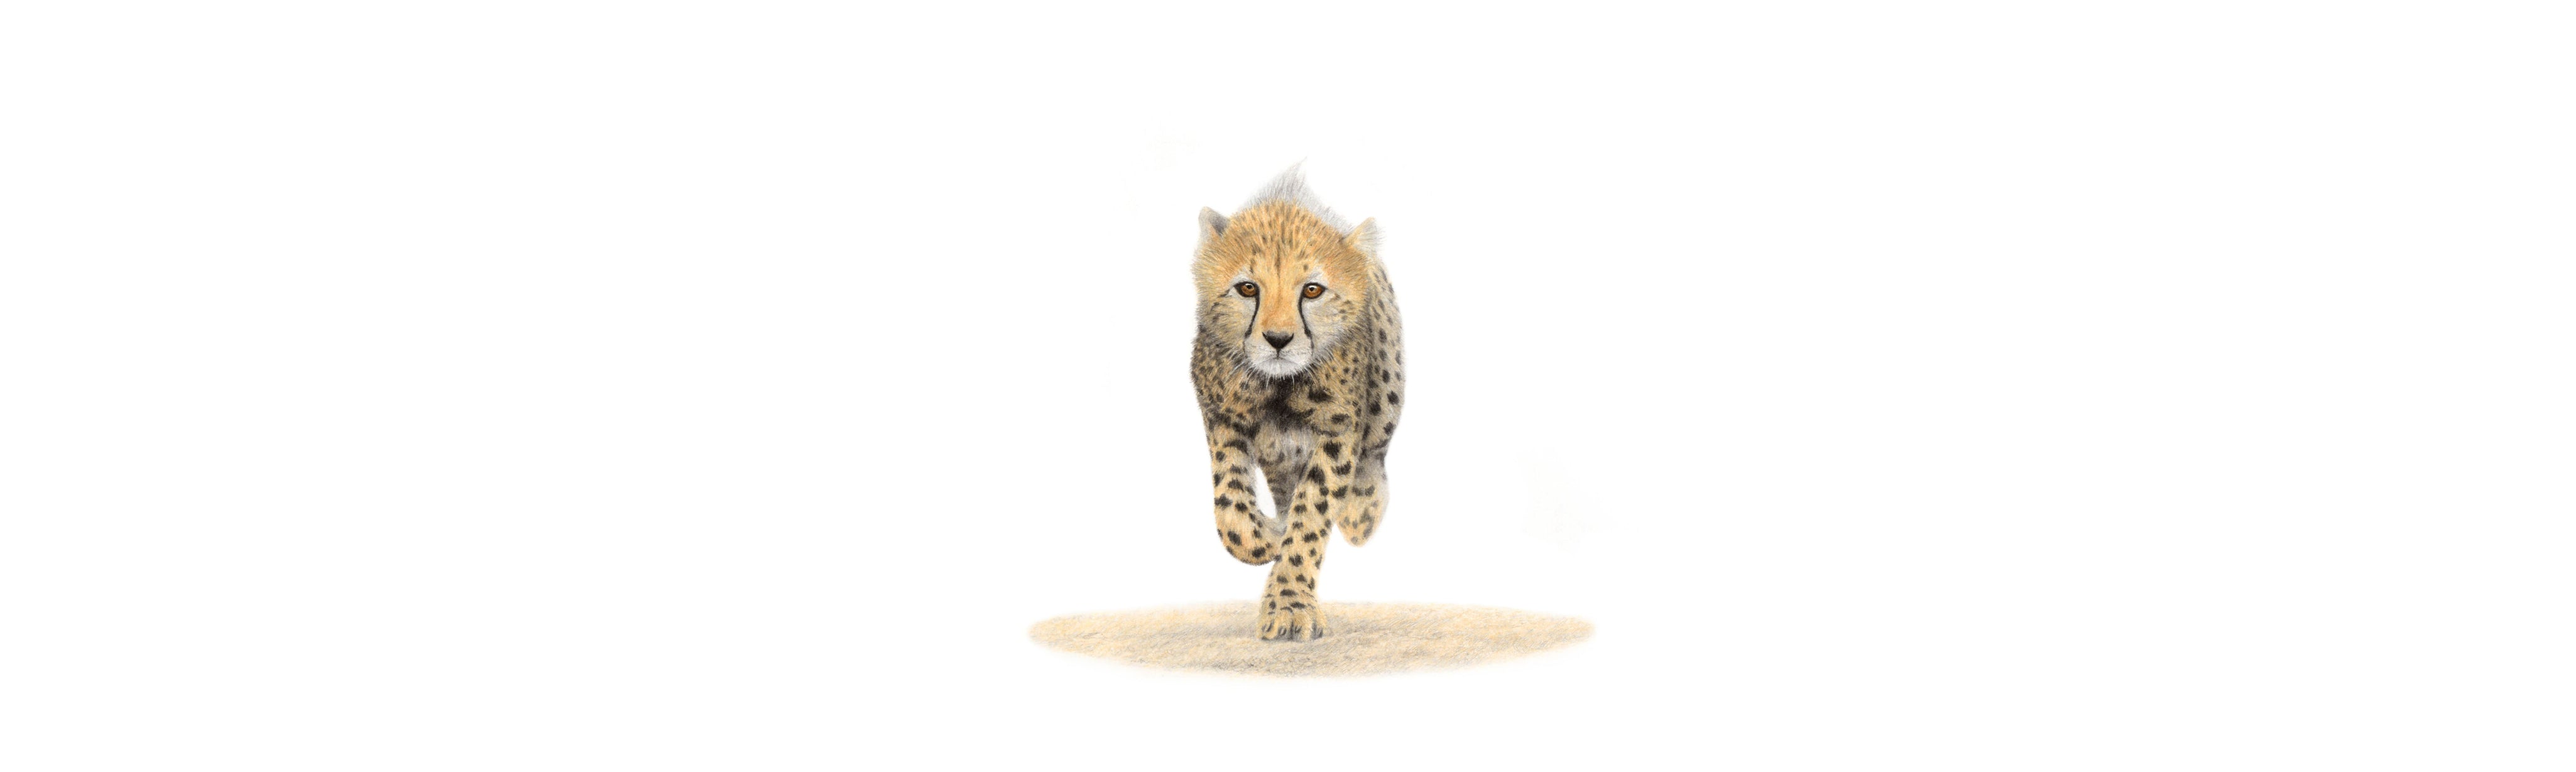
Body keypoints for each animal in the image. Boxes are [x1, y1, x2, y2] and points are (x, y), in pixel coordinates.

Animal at [1188, 167, 1404, 642]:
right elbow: (1232, 511)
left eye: (1313, 290)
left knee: (1376, 449)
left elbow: (1313, 514)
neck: (1279, 386)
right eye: (1247, 288)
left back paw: (1362, 512)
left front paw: (1289, 606)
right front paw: (1267, 538)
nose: (1278, 339)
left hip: (1388, 389)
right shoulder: (1222, 416)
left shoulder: (1338, 431)